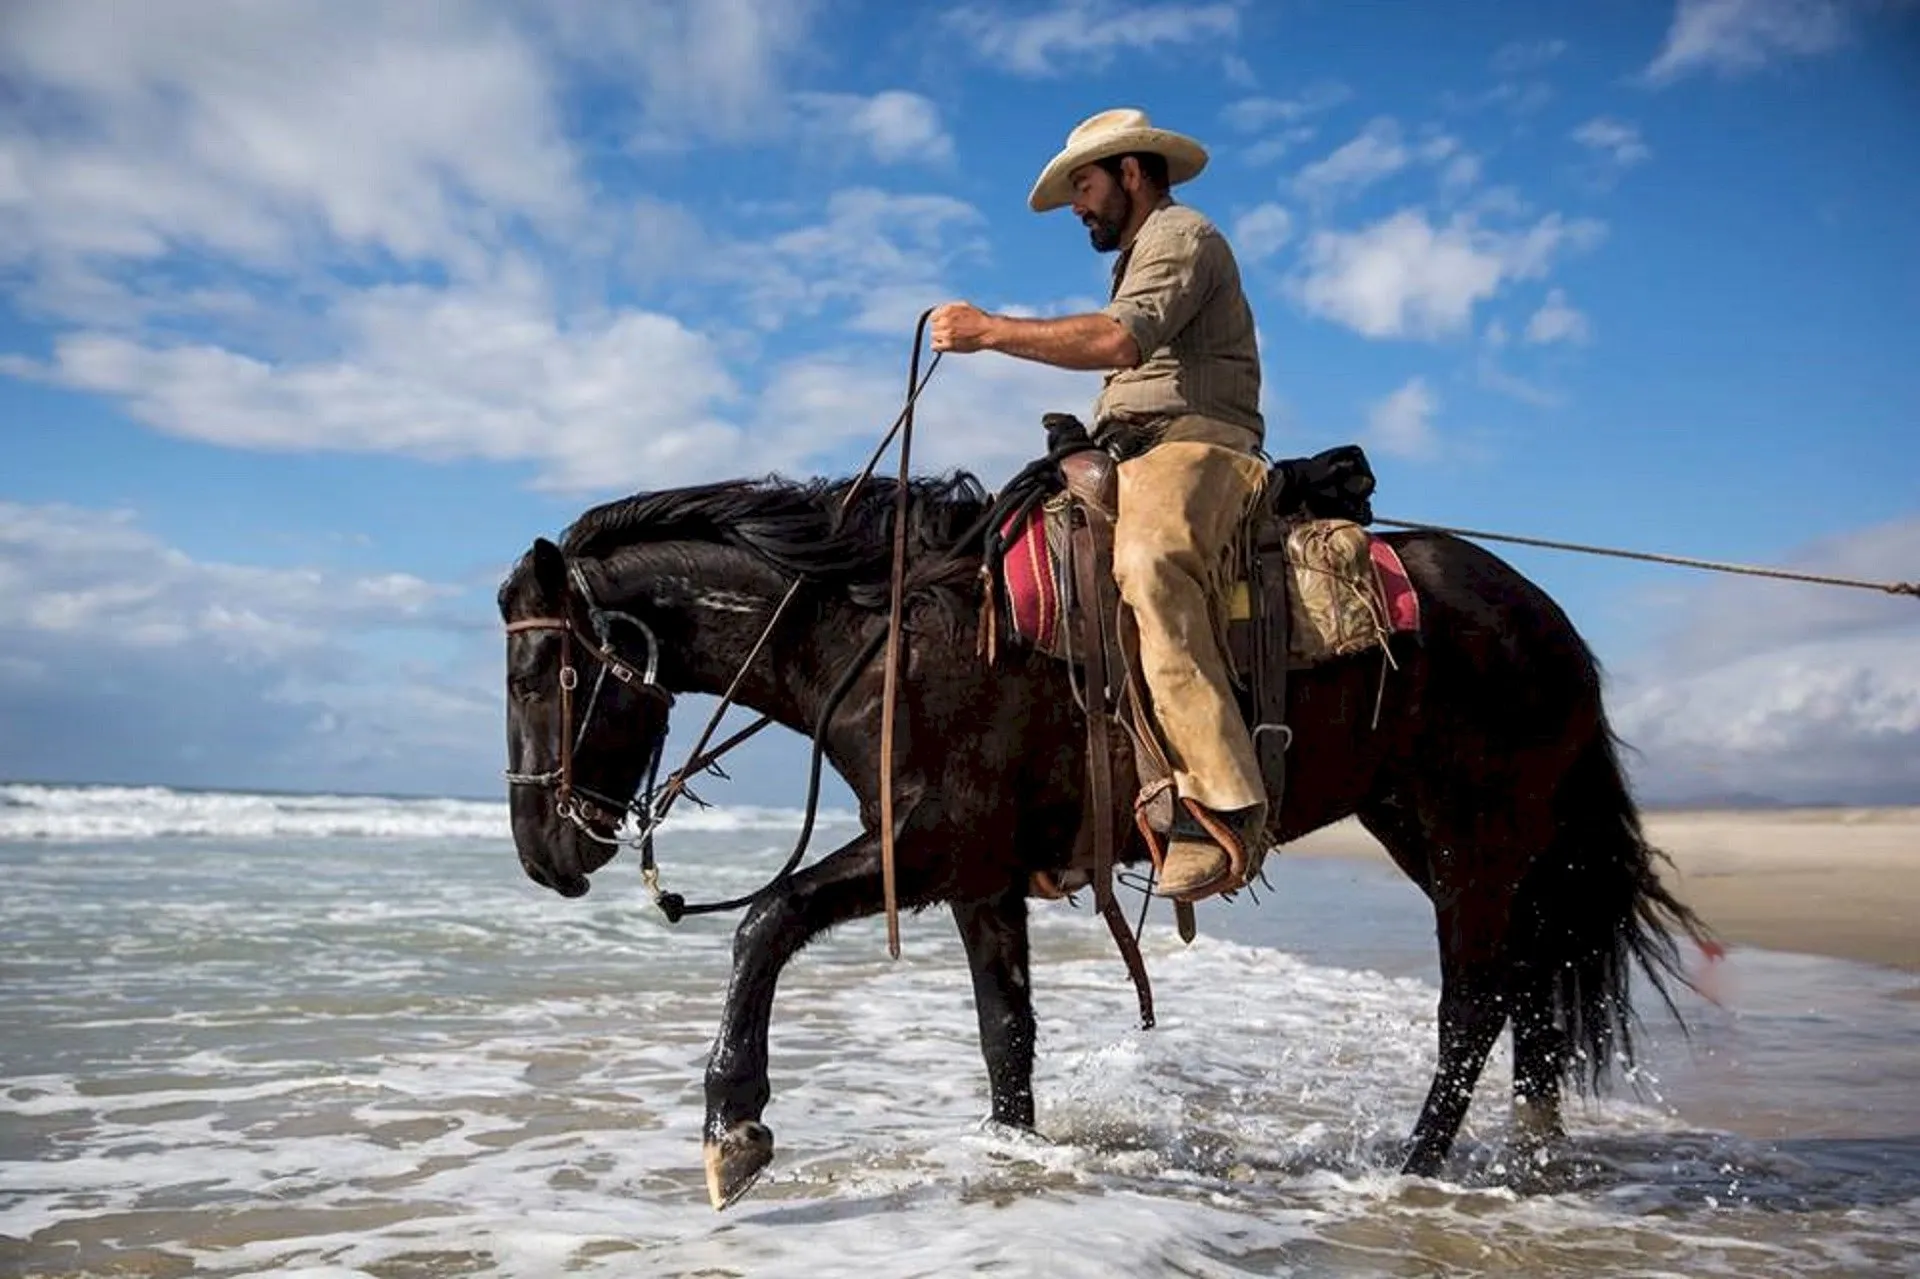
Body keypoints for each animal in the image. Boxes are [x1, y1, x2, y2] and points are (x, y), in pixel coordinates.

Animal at [499, 468, 1712, 1206]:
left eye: (536, 671)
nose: (543, 855)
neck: (892, 632)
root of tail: (1546, 617)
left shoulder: (927, 841)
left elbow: (765, 919)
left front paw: (734, 1128)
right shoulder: (978, 875)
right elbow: (1006, 1032)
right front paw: (1014, 1153)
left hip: (1475, 835)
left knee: (1473, 1003)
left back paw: (1416, 1170)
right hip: (1432, 827)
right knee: (1528, 985)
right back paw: (1531, 1153)